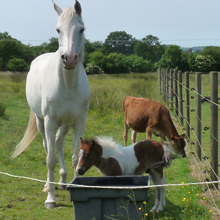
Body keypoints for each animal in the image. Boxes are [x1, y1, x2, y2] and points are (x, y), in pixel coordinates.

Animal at [11, 0, 89, 210]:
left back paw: (62, 181)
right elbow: (50, 159)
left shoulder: (78, 123)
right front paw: (50, 199)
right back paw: (49, 185)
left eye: (82, 29)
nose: (69, 58)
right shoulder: (50, 121)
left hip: (64, 124)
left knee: (58, 142)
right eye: (58, 29)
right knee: (48, 146)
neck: (68, 84)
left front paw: (75, 187)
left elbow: (76, 157)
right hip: (41, 122)